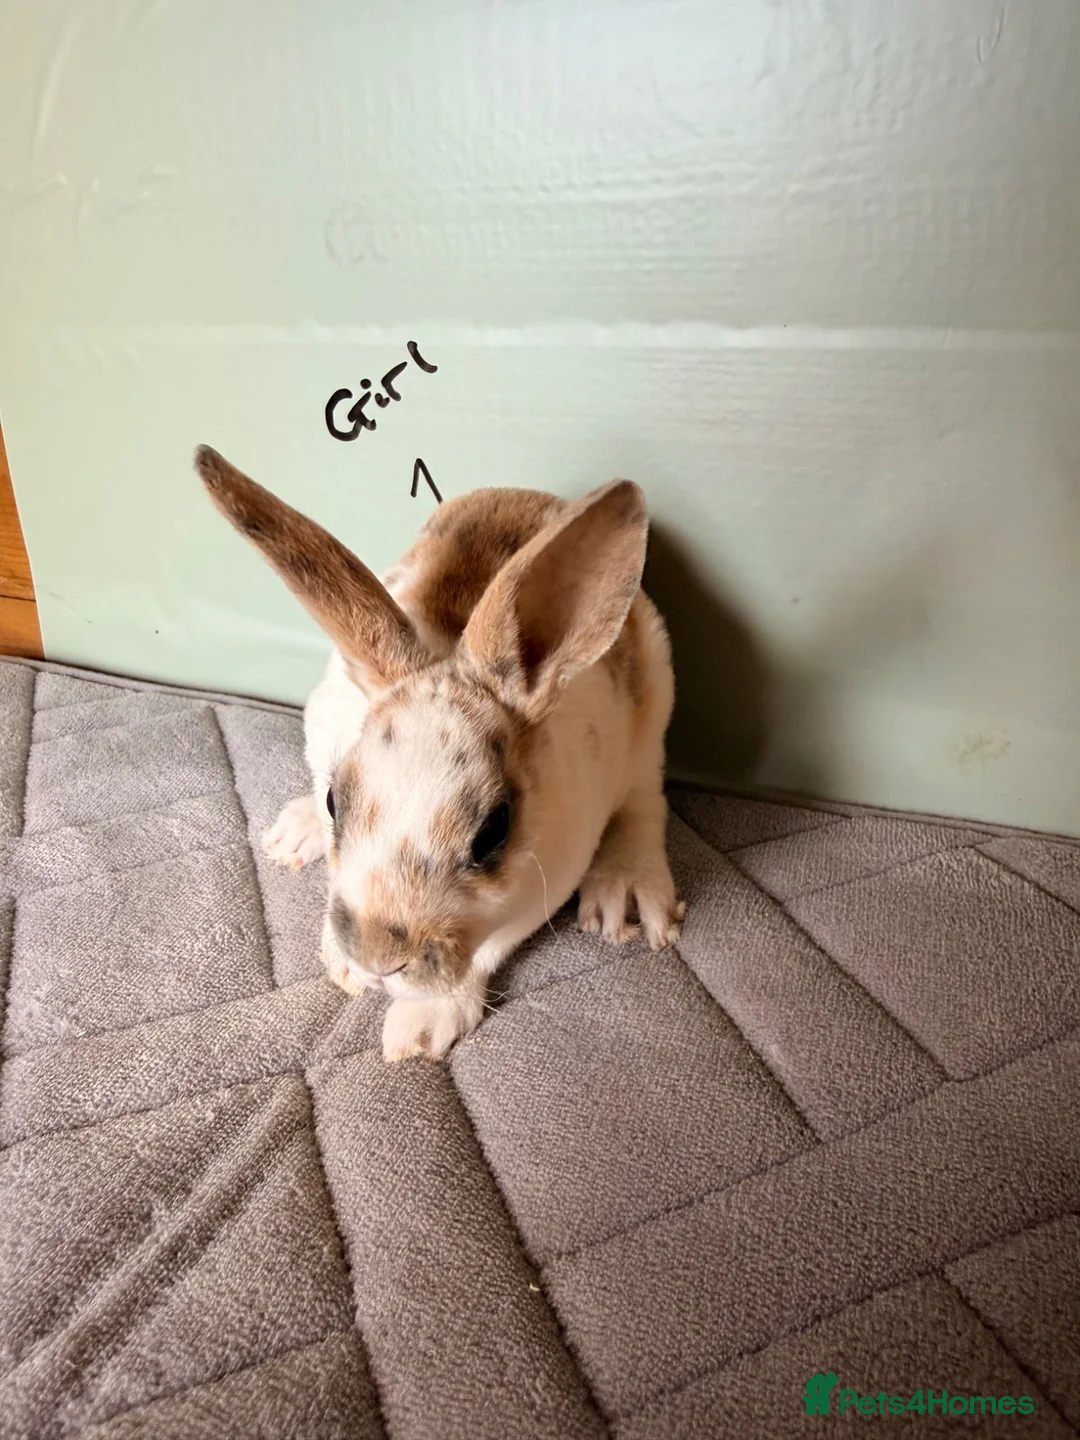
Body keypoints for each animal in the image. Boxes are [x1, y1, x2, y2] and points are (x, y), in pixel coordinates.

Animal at [194, 445, 684, 1061]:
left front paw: (420, 1030)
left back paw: (628, 894)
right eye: (335, 802)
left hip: (655, 702)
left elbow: (488, 949)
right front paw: (342, 965)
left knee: (646, 798)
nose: (377, 961)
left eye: (493, 832)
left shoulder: (542, 887)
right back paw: (291, 837)